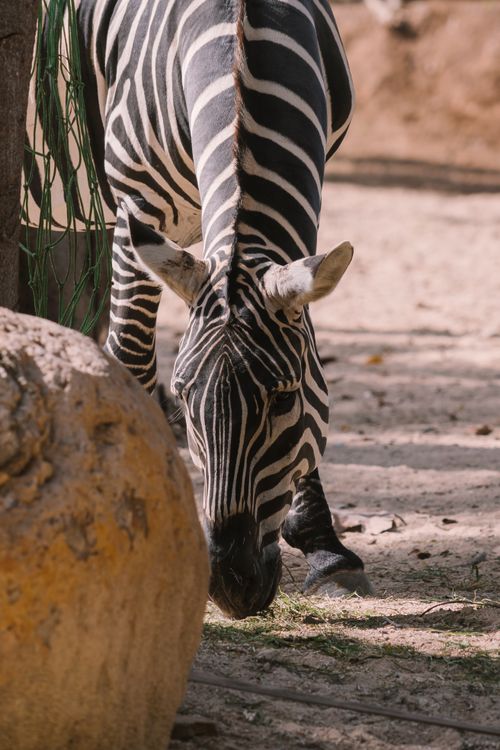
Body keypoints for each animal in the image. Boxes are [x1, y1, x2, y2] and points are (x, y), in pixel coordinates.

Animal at [25, 0, 372, 618]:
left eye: (284, 399)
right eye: (188, 397)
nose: (231, 586)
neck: (239, 35)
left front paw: (326, 548)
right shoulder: (135, 210)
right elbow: (130, 359)